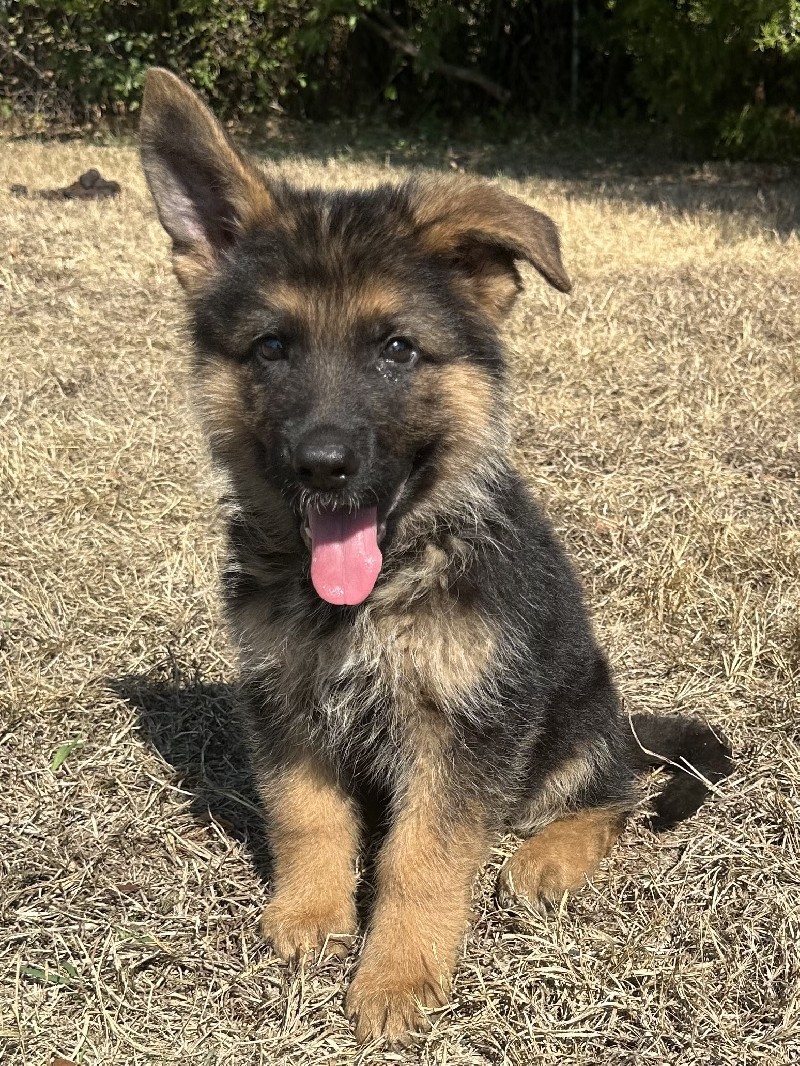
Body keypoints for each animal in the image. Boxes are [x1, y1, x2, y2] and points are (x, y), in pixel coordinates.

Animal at [139, 70, 733, 1044]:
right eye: (273, 347)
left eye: (396, 349)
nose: (324, 464)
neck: (380, 589)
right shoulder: (284, 702)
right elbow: (306, 815)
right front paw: (309, 915)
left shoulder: (466, 726)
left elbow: (424, 857)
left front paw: (397, 974)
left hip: (576, 717)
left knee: (615, 792)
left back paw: (552, 856)